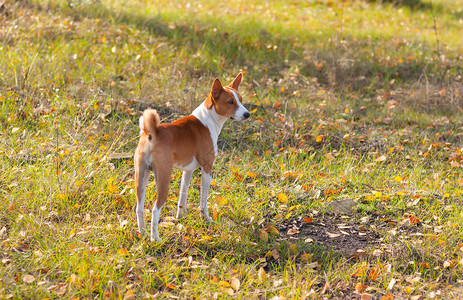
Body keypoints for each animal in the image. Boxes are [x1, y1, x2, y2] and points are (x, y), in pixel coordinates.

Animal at [134, 74, 250, 243]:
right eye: (230, 102)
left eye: (240, 100)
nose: (247, 114)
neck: (207, 120)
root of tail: (151, 133)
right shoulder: (207, 169)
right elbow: (203, 201)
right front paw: (206, 218)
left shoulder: (187, 170)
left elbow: (183, 195)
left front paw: (181, 217)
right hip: (163, 178)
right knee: (155, 210)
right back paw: (155, 238)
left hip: (141, 176)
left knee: (139, 208)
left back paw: (143, 234)